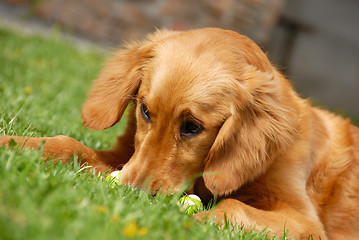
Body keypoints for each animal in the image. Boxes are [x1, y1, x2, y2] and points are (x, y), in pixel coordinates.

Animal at [0, 27, 359, 238]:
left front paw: (186, 225)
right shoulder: (123, 155)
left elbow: (232, 207)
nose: (131, 195)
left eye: (192, 127)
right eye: (145, 110)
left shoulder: (302, 220)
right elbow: (66, 144)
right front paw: (11, 142)